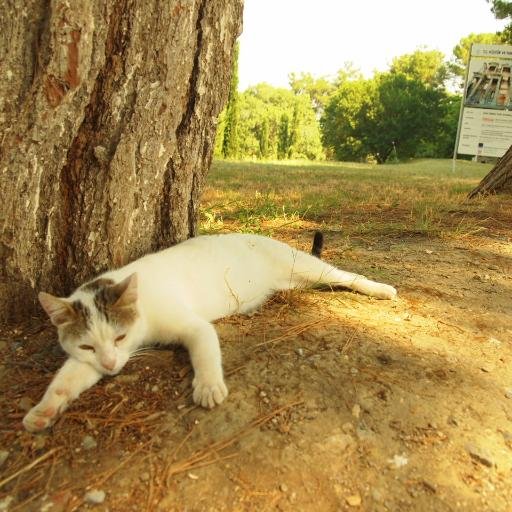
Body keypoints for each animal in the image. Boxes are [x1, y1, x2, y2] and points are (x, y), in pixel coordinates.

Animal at [23, 233, 396, 432]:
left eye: (119, 337)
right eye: (88, 347)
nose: (111, 365)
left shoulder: (194, 326)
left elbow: (204, 351)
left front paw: (208, 386)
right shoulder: (88, 361)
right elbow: (66, 380)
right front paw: (44, 410)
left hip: (310, 267)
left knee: (347, 276)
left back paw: (382, 289)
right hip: (299, 281)